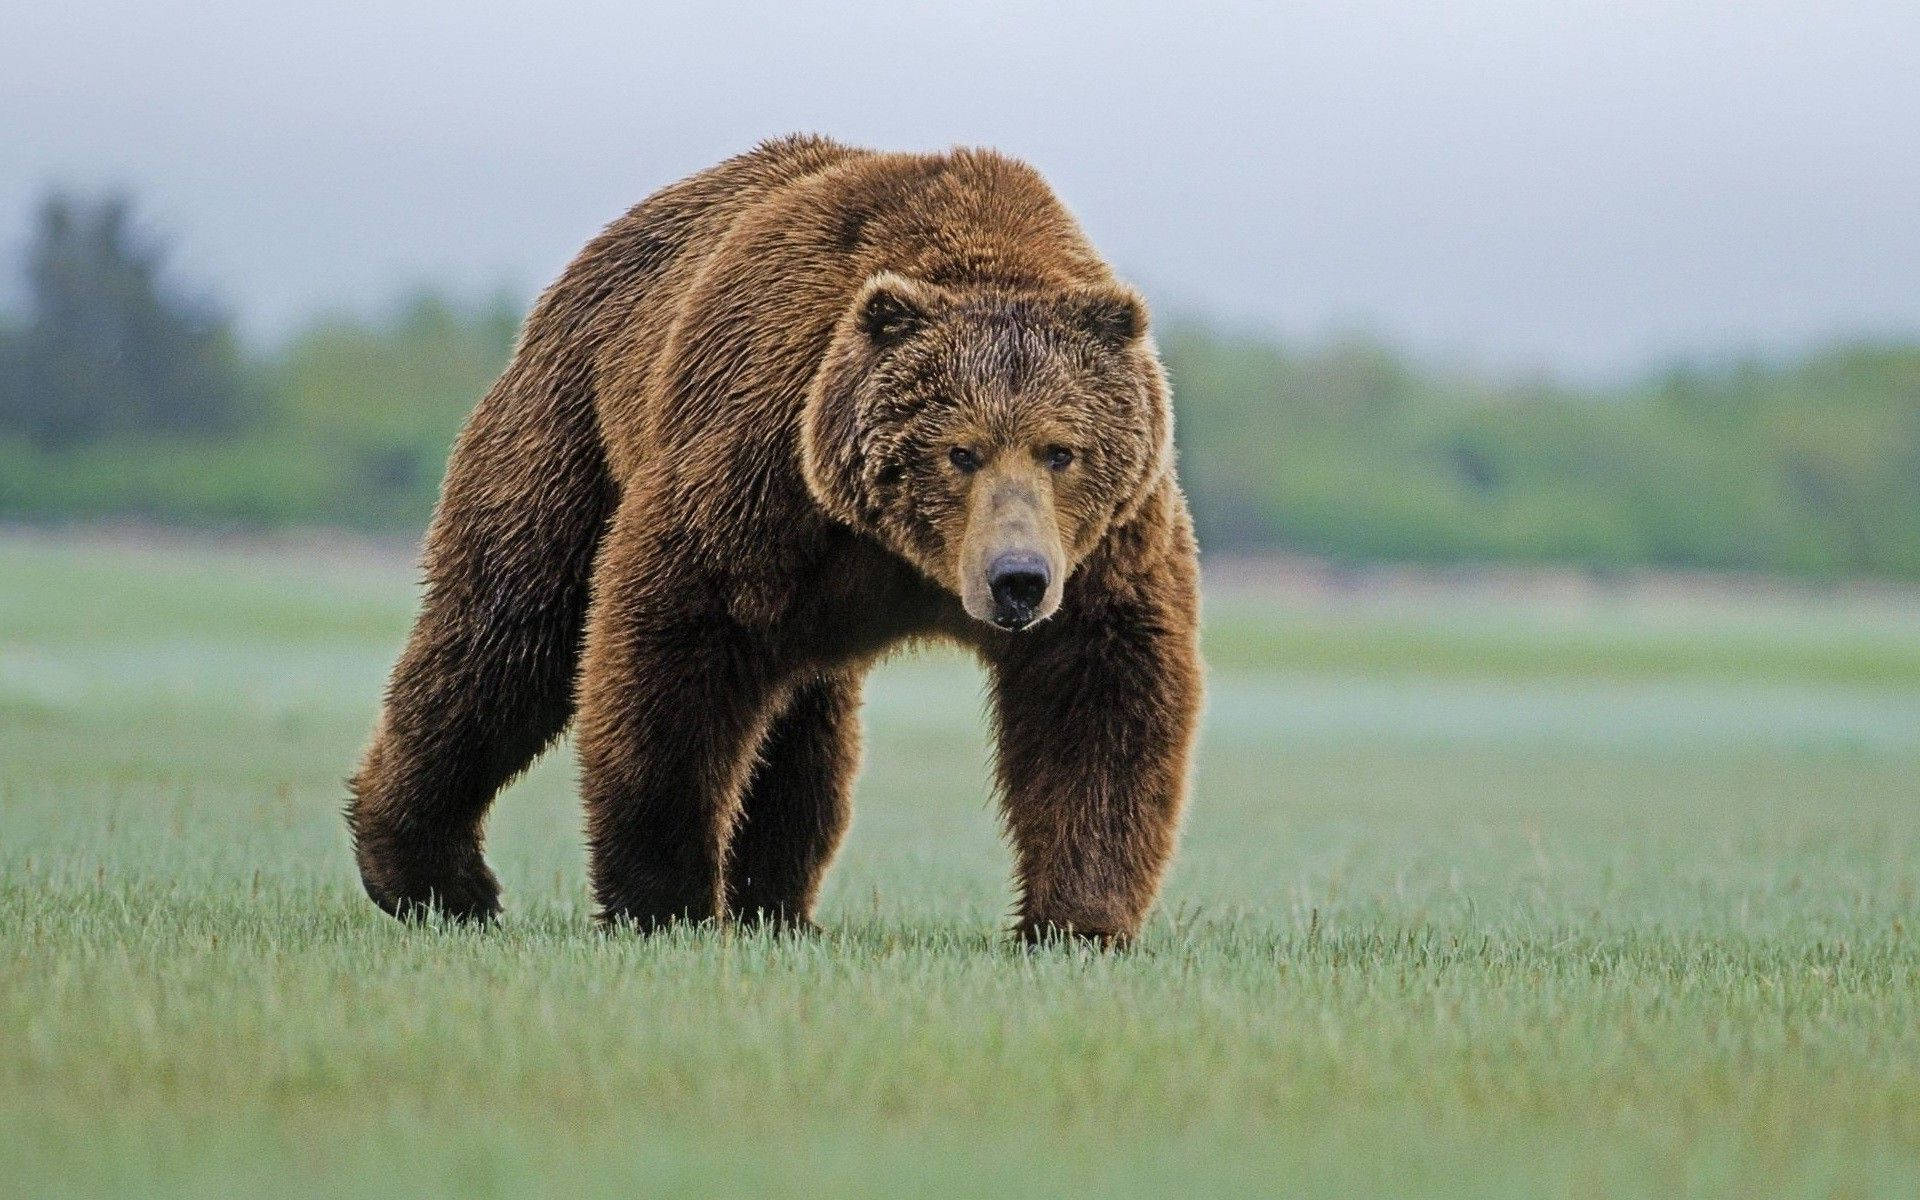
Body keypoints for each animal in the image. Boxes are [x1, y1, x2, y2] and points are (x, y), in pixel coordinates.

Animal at [345, 135, 1198, 944]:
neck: (900, 553)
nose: (1016, 578)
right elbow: (672, 655)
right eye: (961, 450)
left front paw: (1076, 919)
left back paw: (776, 904)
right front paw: (665, 900)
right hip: (570, 427)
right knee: (507, 633)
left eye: (1061, 449)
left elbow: (1097, 697)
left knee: (803, 731)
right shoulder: (758, 468)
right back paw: (432, 877)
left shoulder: (1104, 547)